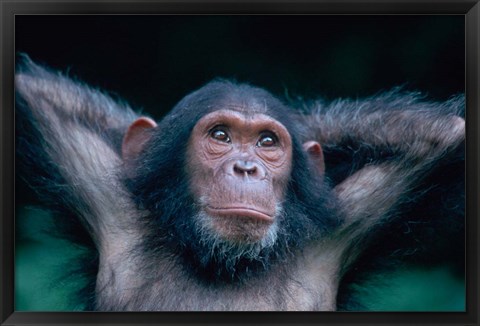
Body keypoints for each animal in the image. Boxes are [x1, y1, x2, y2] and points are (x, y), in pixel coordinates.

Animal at [15, 56, 464, 310]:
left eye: (267, 142)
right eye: (221, 136)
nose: (247, 167)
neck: (222, 262)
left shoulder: (347, 224)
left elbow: (448, 133)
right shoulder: (102, 195)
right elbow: (35, 92)